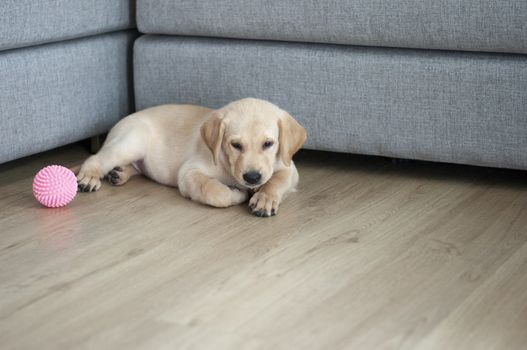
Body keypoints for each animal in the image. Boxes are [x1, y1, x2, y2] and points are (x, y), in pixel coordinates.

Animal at [76, 98, 308, 216]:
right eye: (236, 145)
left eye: (268, 144)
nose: (252, 178)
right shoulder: (189, 172)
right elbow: (215, 191)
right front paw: (237, 194)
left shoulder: (288, 166)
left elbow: (276, 180)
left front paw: (265, 198)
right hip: (132, 141)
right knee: (97, 159)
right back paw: (89, 177)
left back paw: (119, 173)